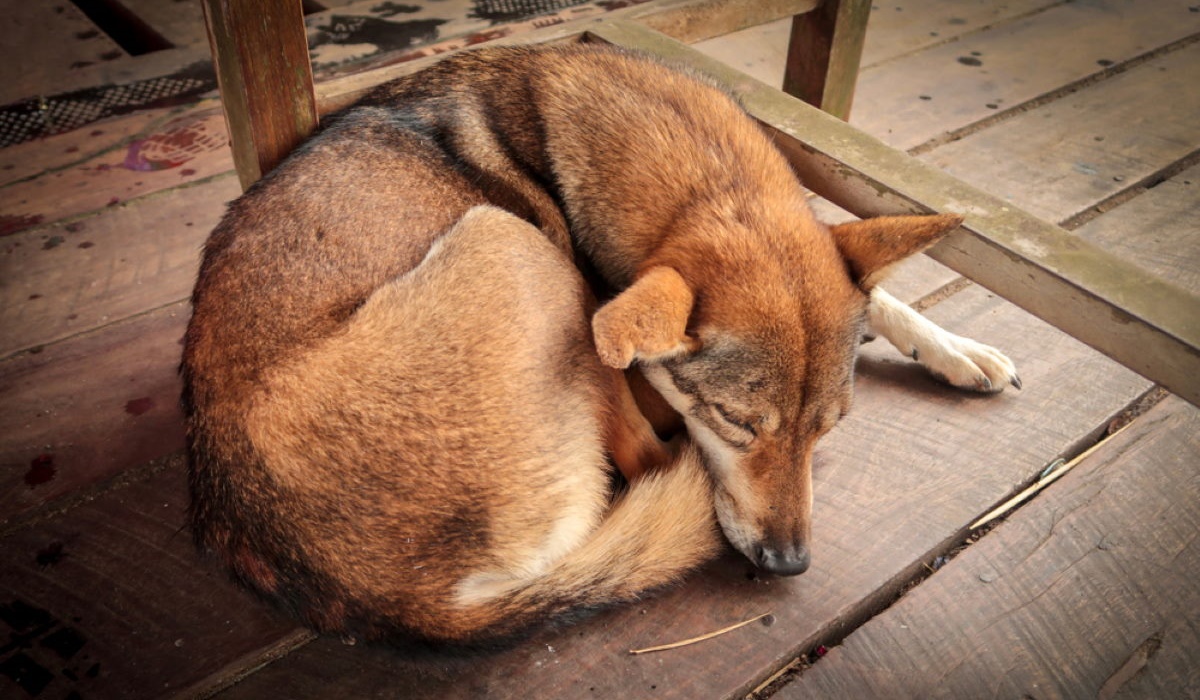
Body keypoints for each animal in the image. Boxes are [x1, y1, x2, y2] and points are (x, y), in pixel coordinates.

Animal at [182, 42, 1017, 648]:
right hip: (517, 245)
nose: (788, 564)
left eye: (830, 428)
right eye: (737, 423)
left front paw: (955, 347)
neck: (707, 181)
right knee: (644, 455)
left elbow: (879, 293)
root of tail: (398, 602)